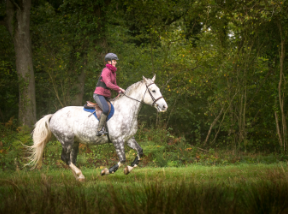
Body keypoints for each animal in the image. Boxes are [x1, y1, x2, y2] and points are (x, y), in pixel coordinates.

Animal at [26, 75, 169, 181]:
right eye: (153, 90)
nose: (164, 107)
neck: (126, 110)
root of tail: (53, 116)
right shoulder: (117, 140)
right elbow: (122, 159)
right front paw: (106, 171)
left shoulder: (128, 138)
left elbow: (140, 152)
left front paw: (128, 169)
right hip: (66, 140)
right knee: (65, 158)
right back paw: (80, 174)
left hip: (75, 142)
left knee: (71, 159)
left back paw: (78, 176)